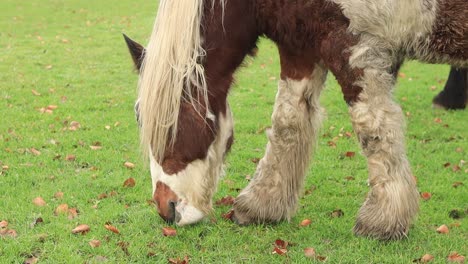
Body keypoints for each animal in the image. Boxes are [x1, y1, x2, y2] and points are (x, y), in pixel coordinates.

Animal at [122, 0, 466, 240]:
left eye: (172, 122)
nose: (166, 209)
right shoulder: (298, 47)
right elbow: (287, 121)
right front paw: (262, 204)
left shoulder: (352, 46)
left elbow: (373, 127)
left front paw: (384, 220)